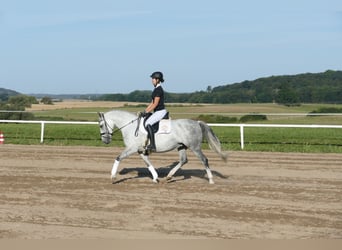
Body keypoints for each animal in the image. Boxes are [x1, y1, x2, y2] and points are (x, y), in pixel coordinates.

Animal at [98, 110, 227, 185]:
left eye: (101, 125)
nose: (105, 141)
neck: (130, 127)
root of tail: (197, 123)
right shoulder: (140, 150)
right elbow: (148, 163)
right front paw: (155, 178)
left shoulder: (132, 148)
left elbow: (118, 158)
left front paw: (113, 177)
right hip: (181, 146)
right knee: (183, 160)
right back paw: (169, 176)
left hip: (194, 147)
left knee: (204, 160)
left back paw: (211, 180)